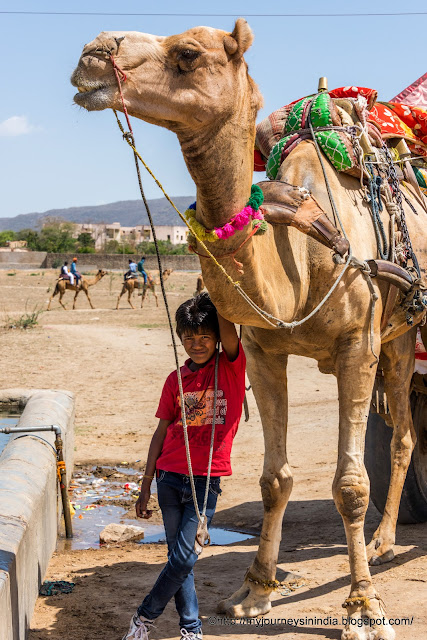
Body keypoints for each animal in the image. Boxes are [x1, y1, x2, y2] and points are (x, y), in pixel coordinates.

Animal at [72, 22, 426, 636]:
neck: (303, 253)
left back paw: (382, 545)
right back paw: (381, 543)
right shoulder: (263, 351)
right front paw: (254, 591)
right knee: (401, 431)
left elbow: (350, 485)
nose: (91, 54)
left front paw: (364, 607)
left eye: (188, 53)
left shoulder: (357, 346)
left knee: (402, 431)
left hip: (401, 333)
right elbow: (273, 479)